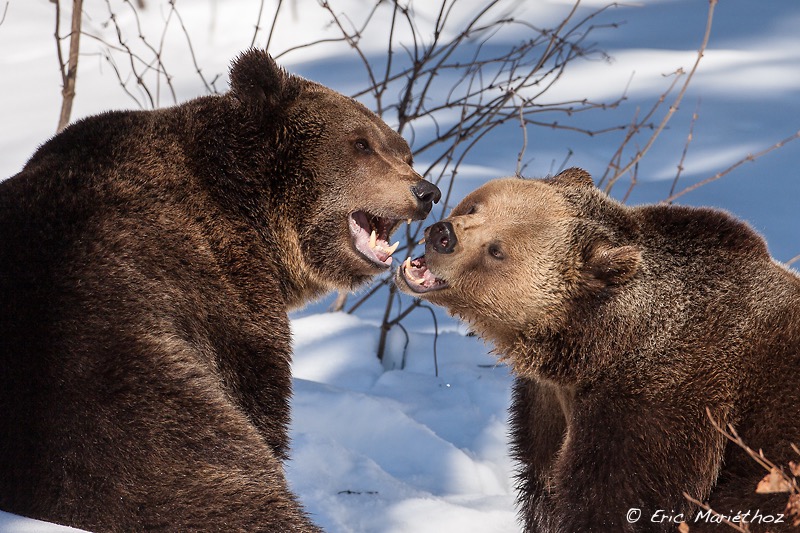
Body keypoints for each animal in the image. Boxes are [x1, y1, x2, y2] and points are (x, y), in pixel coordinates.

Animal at [396, 167, 800, 532]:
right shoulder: (548, 410)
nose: (442, 234)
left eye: (498, 250)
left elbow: (618, 502)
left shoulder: (662, 406)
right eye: (475, 206)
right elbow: (543, 486)